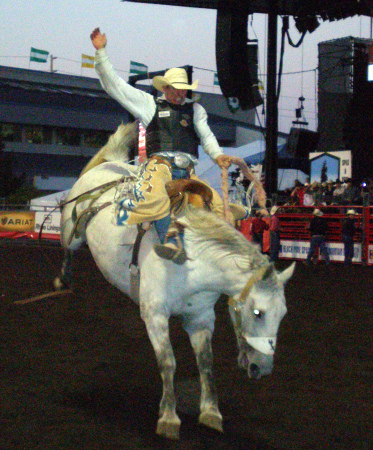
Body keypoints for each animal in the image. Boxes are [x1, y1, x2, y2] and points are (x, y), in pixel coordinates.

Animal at [56, 125, 294, 442]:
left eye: (283, 314)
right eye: (258, 312)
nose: (263, 368)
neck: (193, 264)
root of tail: (111, 165)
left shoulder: (201, 318)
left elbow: (206, 364)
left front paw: (211, 413)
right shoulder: (155, 315)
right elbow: (168, 363)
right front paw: (168, 417)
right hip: (71, 229)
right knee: (68, 246)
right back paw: (63, 279)